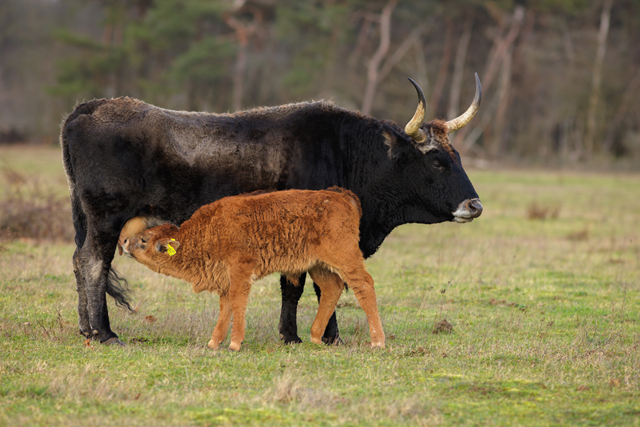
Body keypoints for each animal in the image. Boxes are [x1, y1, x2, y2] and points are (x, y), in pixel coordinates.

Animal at [120, 189, 384, 352]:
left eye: (143, 240)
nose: (124, 243)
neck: (208, 230)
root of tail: (342, 197)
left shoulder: (240, 271)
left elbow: (237, 302)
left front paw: (234, 344)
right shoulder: (225, 276)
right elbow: (225, 306)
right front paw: (214, 342)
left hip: (345, 258)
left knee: (364, 284)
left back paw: (377, 341)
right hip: (318, 265)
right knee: (332, 289)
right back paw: (315, 337)